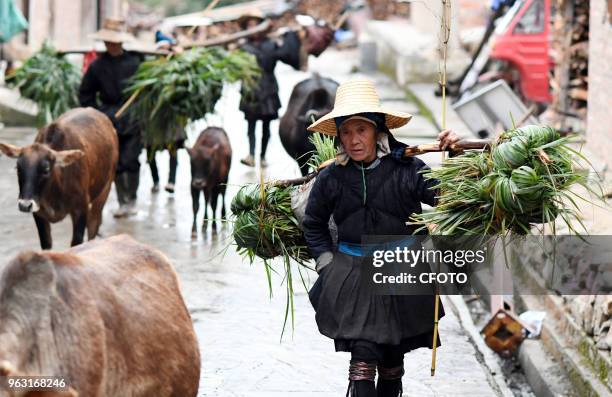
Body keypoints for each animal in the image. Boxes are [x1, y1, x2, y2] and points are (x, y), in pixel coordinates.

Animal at [0, 106, 118, 249]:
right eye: (18, 168)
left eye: (46, 170)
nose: (24, 205)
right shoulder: (39, 213)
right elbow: (46, 244)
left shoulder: (80, 209)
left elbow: (76, 243)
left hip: (104, 190)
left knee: (93, 226)